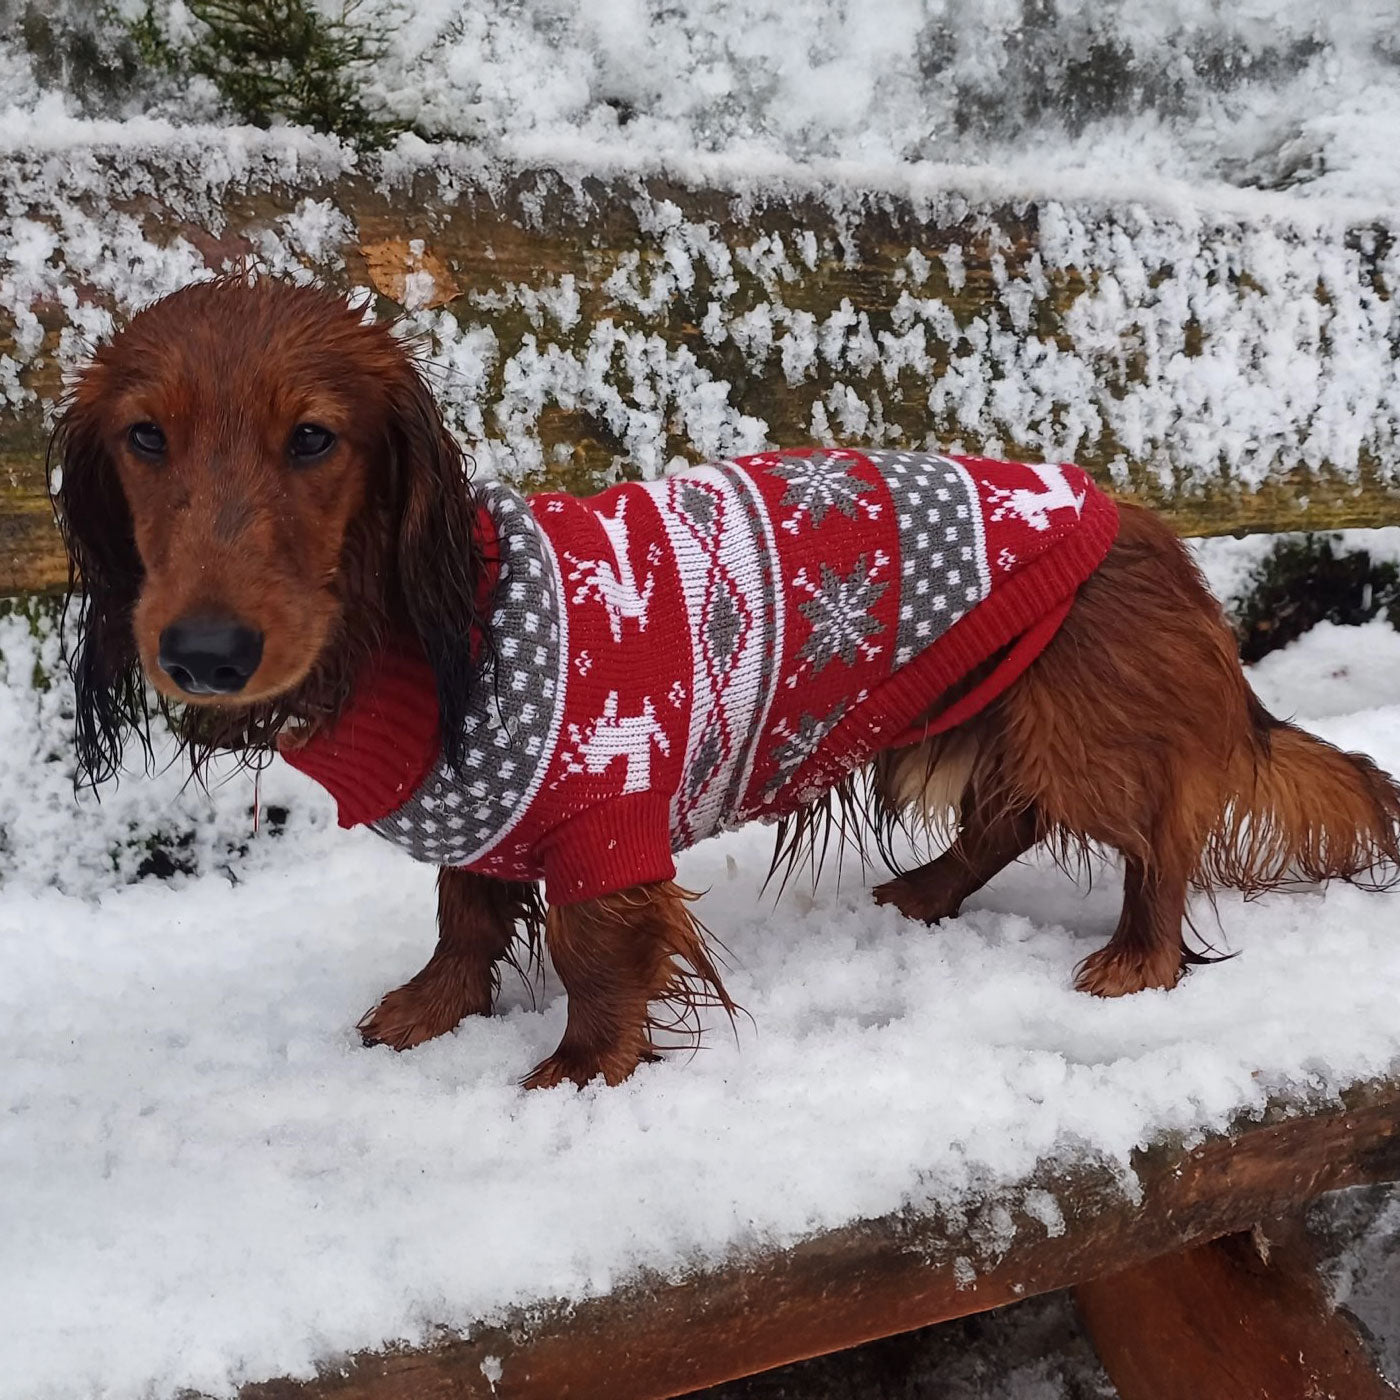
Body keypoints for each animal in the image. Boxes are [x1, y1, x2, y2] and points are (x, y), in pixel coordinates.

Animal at [49, 270, 1400, 1080]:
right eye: (145, 435)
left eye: (315, 438)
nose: (204, 653)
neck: (425, 631)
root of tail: (1152, 532)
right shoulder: (489, 821)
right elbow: (464, 911)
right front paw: (430, 1009)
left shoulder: (604, 821)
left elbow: (593, 958)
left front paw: (572, 1076)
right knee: (1005, 819)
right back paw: (921, 892)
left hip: (1086, 730)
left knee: (1159, 839)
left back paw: (1136, 957)